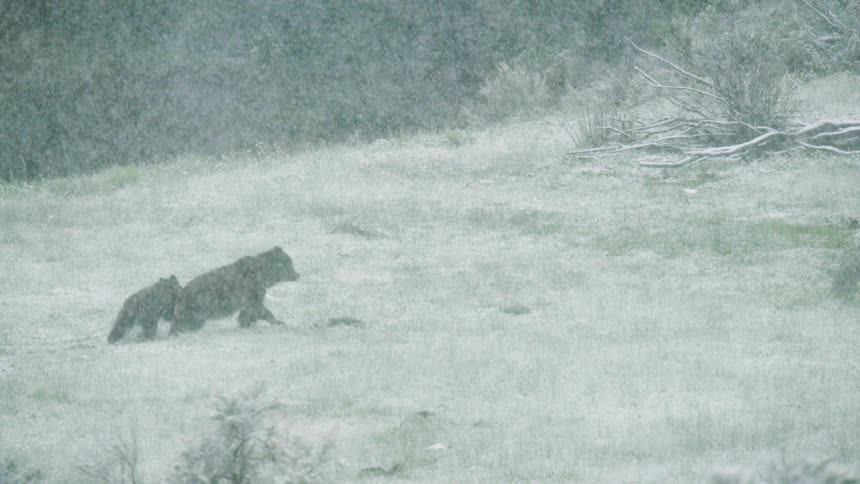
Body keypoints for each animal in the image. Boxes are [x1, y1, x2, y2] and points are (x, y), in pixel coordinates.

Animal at [170, 246, 300, 335]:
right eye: (289, 264)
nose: (297, 275)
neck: (261, 274)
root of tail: (181, 293)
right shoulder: (252, 296)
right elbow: (262, 311)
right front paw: (279, 322)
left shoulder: (248, 300)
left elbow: (246, 313)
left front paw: (246, 325)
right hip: (196, 310)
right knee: (186, 324)